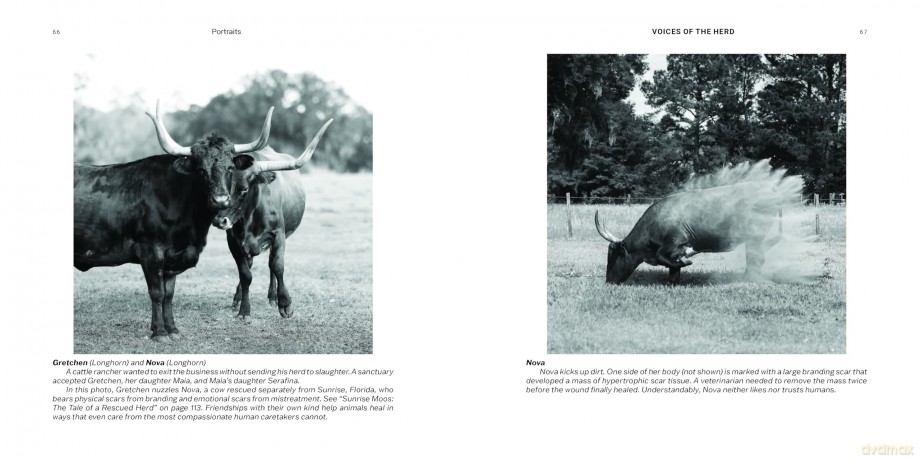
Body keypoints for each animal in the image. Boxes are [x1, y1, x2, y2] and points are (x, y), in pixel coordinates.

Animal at [74, 101, 274, 340]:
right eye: (201, 170)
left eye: (230, 168)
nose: (220, 199)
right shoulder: (150, 252)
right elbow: (157, 293)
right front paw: (159, 332)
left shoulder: (174, 257)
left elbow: (169, 294)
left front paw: (172, 329)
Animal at [211, 119, 334, 319]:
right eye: (220, 184)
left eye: (244, 189)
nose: (220, 221)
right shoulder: (233, 241)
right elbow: (245, 274)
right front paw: (244, 309)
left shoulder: (279, 235)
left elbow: (276, 266)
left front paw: (285, 303)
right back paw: (239, 297)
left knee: (271, 265)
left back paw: (272, 296)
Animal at [594, 160, 803, 284]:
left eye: (613, 256)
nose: (608, 281)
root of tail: (769, 187)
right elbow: (672, 268)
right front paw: (673, 281)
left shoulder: (676, 241)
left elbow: (665, 257)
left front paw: (686, 261)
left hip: (756, 235)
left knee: (756, 258)